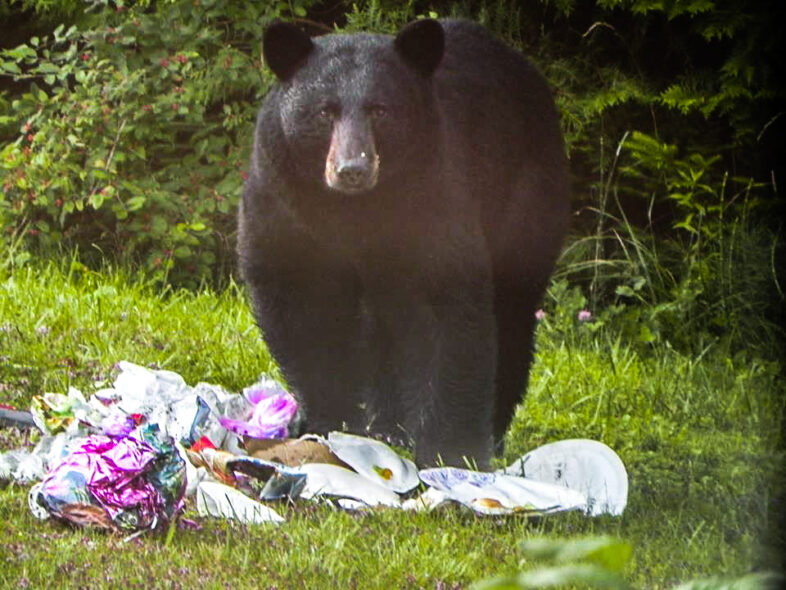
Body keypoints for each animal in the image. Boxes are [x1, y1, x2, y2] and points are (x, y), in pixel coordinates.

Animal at [237, 18, 570, 468]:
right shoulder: (284, 208)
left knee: (511, 314)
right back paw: (387, 426)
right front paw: (330, 422)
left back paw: (492, 431)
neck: (354, 212)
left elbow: (449, 313)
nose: (352, 169)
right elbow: (301, 306)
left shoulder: (434, 198)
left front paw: (451, 451)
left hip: (526, 196)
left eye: (380, 110)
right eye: (324, 111)